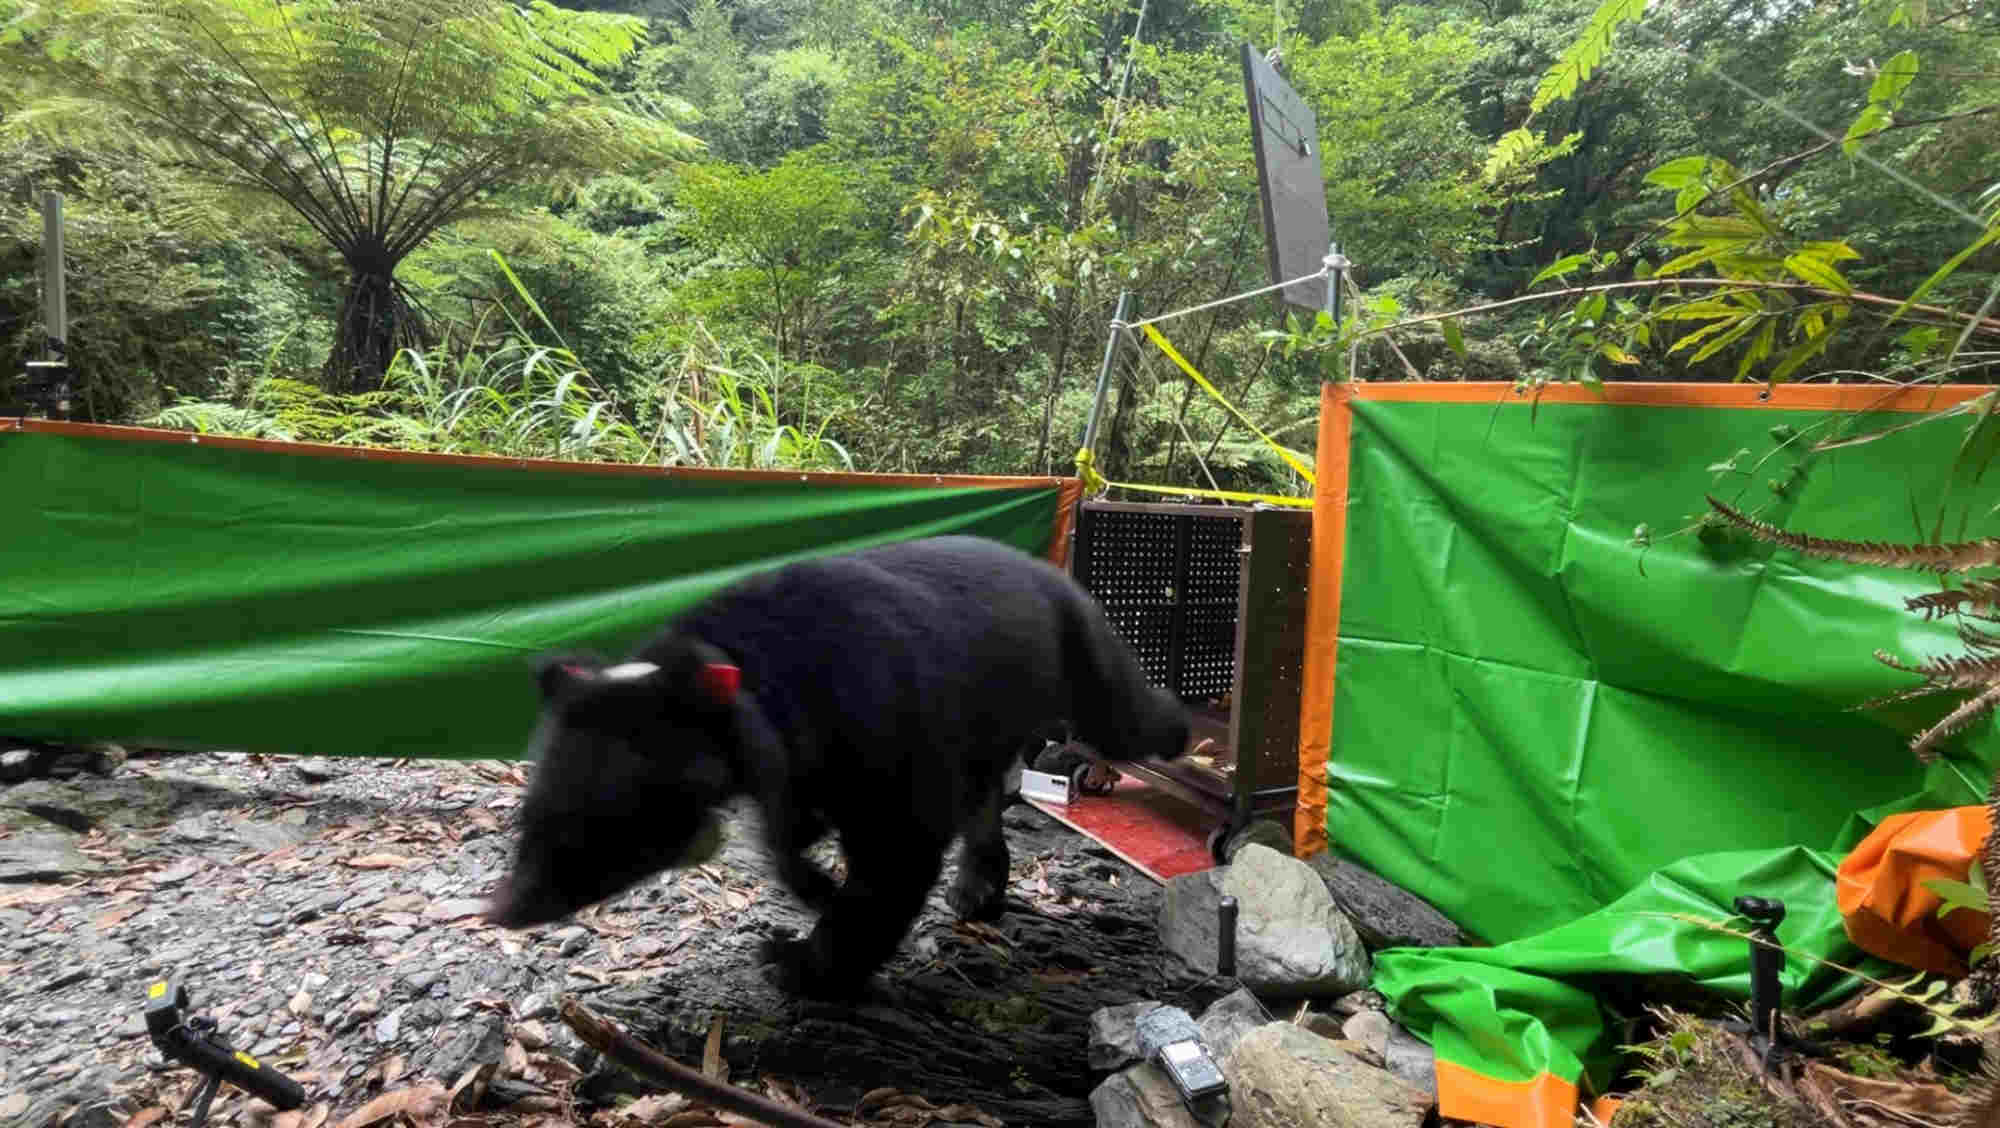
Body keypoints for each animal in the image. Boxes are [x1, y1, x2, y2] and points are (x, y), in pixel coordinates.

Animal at [485, 534, 1192, 997]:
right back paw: (977, 890)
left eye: (602, 821)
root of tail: (1050, 571)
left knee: (1127, 714)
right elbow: (790, 832)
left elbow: (893, 855)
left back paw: (1181, 732)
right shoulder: (804, 763)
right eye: (531, 814)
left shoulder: (883, 725)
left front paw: (797, 962)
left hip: (1082, 654)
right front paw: (812, 884)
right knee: (983, 799)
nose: (503, 909)